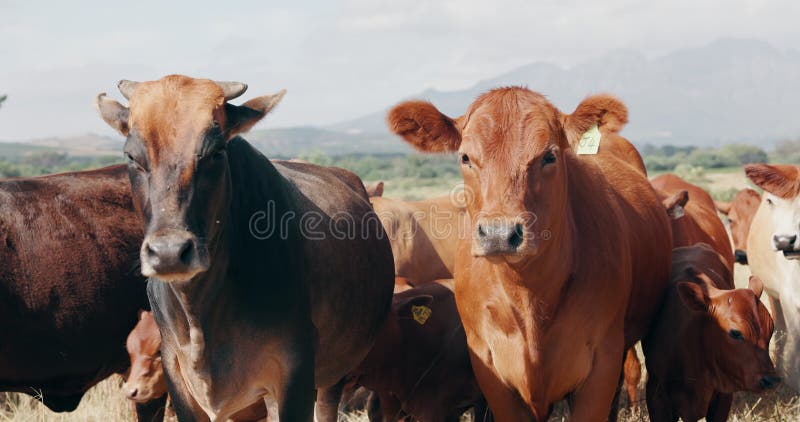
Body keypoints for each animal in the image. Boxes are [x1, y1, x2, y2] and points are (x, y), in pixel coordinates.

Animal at [95, 76, 396, 422]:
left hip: (331, 376)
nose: (169, 252)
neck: (200, 316)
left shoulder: (294, 373)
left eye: (216, 152)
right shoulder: (178, 379)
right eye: (131, 157)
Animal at [384, 88, 672, 418]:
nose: (499, 233)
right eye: (465, 157)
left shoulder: (601, 365)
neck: (529, 299)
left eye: (549, 156)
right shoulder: (490, 369)